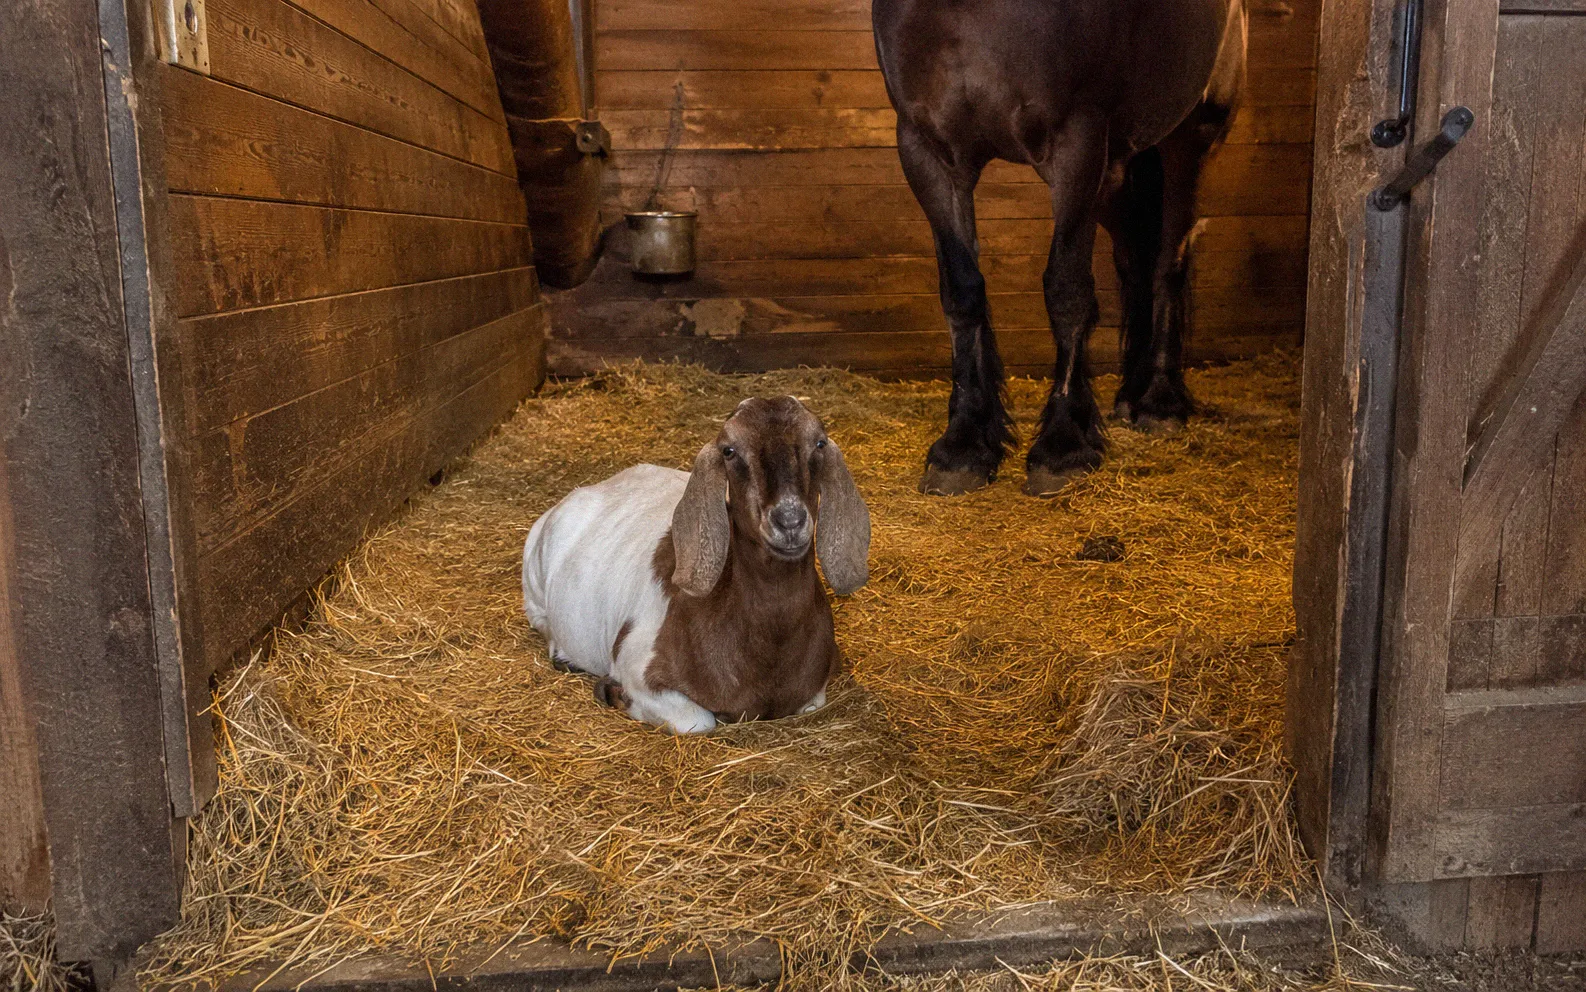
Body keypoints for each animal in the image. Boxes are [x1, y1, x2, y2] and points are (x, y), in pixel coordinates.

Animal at [522, 396, 871, 734]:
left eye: (819, 443)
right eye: (729, 450)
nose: (789, 520)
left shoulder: (814, 690)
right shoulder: (638, 664)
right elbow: (697, 721)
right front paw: (613, 691)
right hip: (535, 577)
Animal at [872, 0, 1247, 496]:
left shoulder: (1078, 145)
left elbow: (1066, 291)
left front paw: (1062, 444)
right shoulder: (928, 152)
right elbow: (962, 291)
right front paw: (963, 445)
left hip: (1190, 140)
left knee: (1169, 262)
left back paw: (1160, 401)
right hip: (1116, 170)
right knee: (1135, 262)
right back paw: (1130, 394)